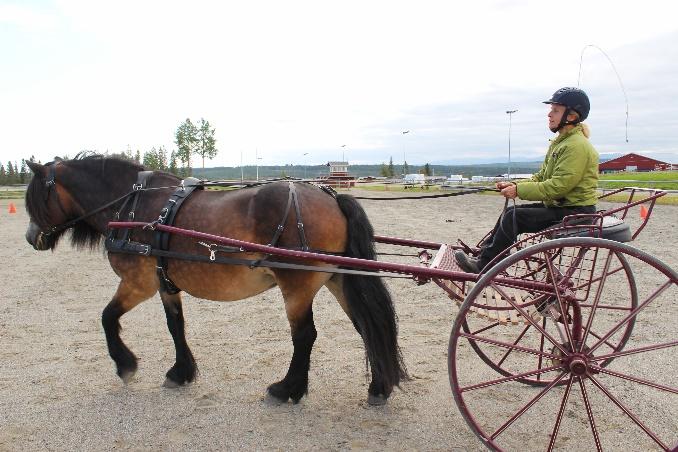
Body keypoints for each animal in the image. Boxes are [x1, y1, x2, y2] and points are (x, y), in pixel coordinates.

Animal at [25, 154, 410, 404]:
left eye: (35, 197)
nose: (31, 238)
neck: (135, 207)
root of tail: (330, 196)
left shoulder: (138, 284)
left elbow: (107, 317)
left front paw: (126, 364)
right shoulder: (164, 284)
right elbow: (175, 326)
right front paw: (180, 372)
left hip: (297, 286)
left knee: (305, 336)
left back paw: (287, 390)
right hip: (337, 279)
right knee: (366, 324)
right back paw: (378, 387)